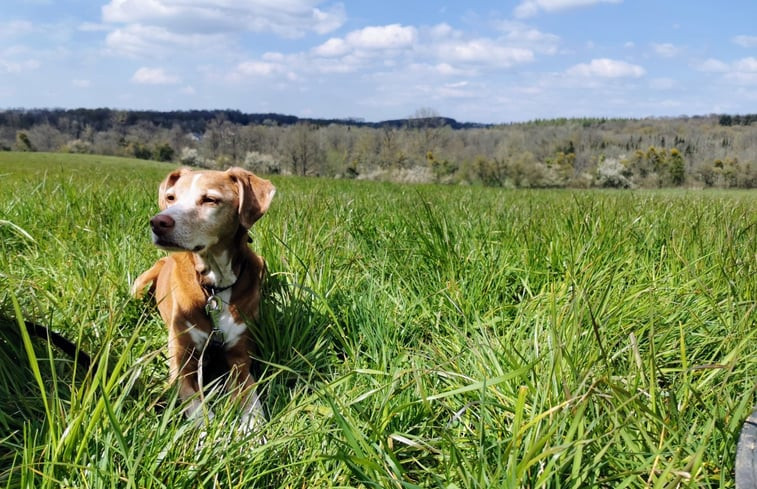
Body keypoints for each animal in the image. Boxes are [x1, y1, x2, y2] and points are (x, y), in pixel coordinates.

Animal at [132, 166, 274, 432]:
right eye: (171, 197)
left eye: (210, 199)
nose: (158, 222)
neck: (214, 286)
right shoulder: (181, 362)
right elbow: (196, 408)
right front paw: (206, 435)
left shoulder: (240, 357)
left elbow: (250, 398)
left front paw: (252, 430)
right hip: (140, 285)